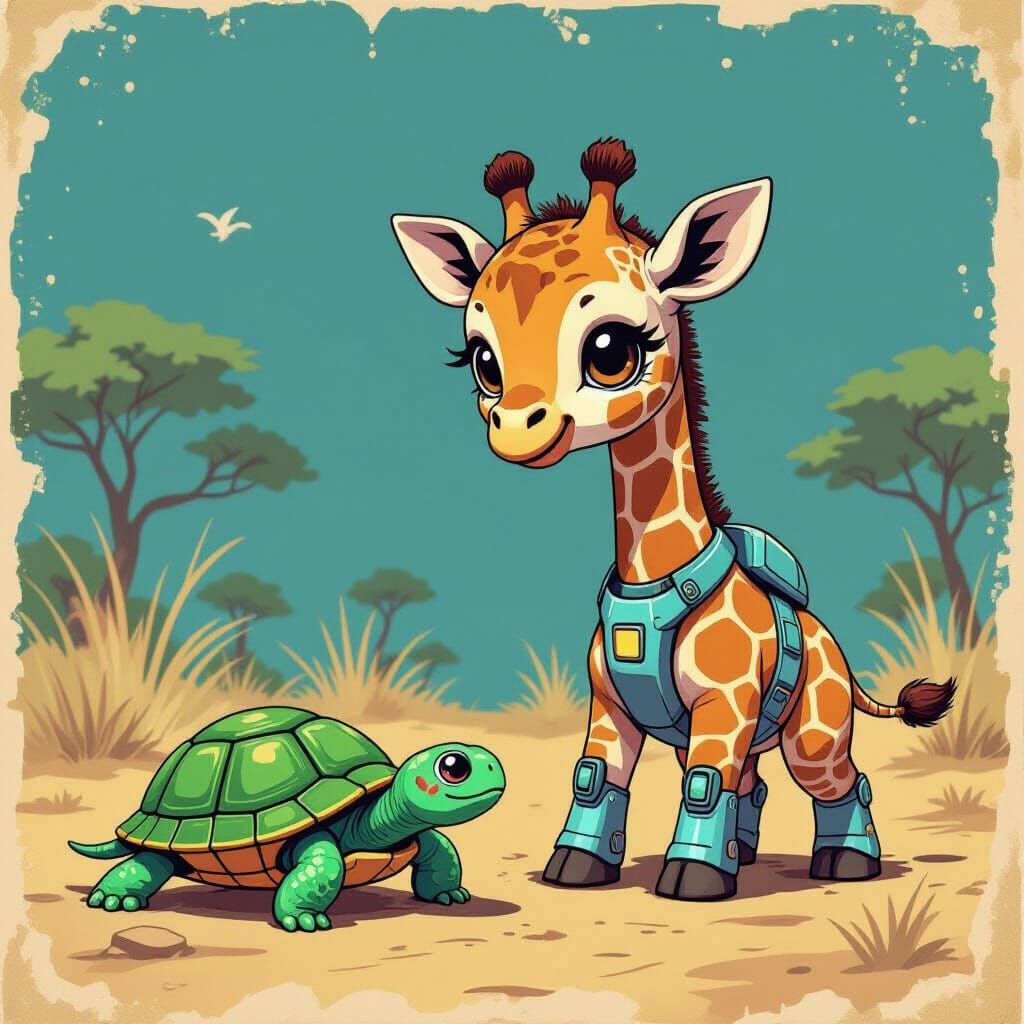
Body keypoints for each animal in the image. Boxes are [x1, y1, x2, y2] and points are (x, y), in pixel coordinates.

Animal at [392, 139, 955, 901]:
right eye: (482, 359)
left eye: (610, 350)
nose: (514, 430)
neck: (652, 583)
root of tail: (833, 643)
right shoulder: (609, 704)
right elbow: (595, 778)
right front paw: (577, 867)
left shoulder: (724, 701)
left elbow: (702, 782)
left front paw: (692, 878)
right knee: (754, 783)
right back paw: (749, 855)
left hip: (813, 727)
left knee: (838, 779)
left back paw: (846, 862)